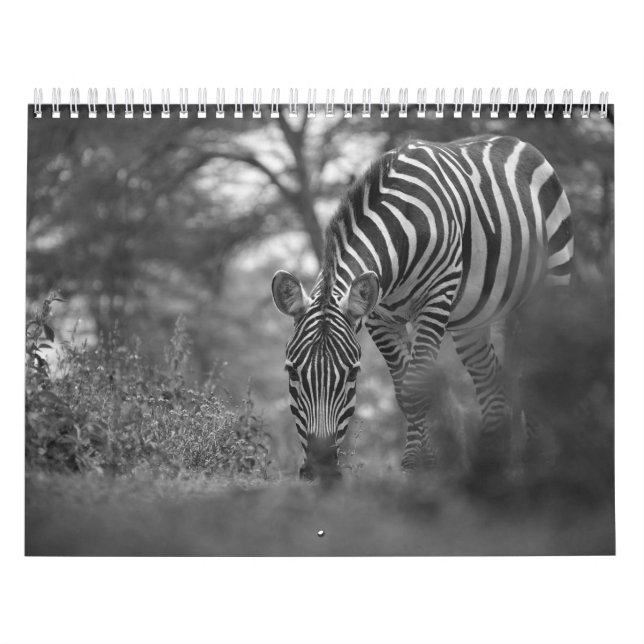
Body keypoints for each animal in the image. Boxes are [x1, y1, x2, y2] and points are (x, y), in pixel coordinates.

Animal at [271, 134, 573, 479]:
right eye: (292, 372)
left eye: (352, 374)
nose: (321, 468)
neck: (400, 229)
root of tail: (516, 141)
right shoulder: (379, 317)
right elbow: (404, 390)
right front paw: (425, 462)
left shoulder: (435, 299)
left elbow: (416, 386)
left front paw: (416, 464)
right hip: (472, 319)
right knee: (489, 379)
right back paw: (489, 462)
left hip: (548, 285)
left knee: (535, 370)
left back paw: (535, 458)